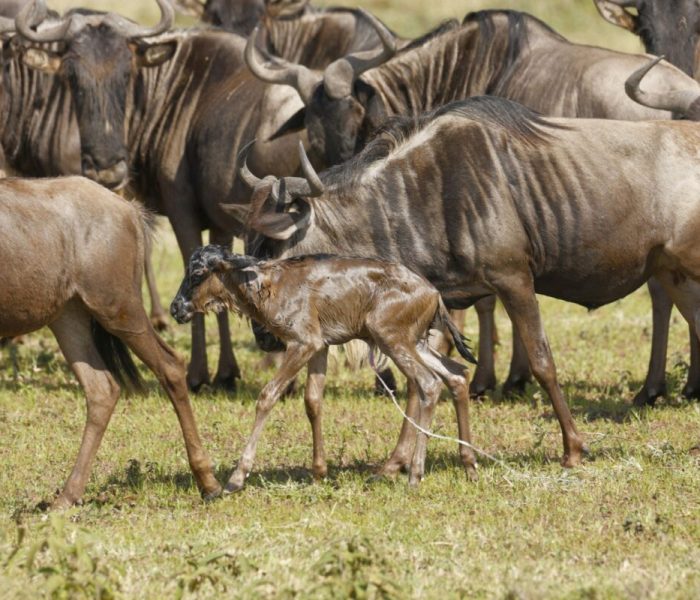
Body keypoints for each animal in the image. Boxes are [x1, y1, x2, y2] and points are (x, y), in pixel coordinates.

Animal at [231, 90, 700, 473]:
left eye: (277, 249)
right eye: (249, 246)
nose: (264, 337)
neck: (427, 189)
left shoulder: (515, 280)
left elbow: (542, 361)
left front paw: (572, 450)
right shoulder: (439, 299)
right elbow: (426, 378)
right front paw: (398, 461)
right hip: (675, 276)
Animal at [246, 8, 700, 406]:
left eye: (357, 119)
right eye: (312, 135)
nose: (263, 336)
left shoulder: (510, 271)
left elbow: (495, 317)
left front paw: (498, 380)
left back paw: (660, 387)